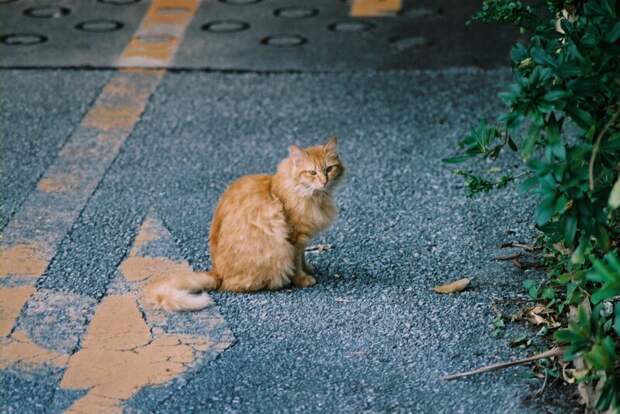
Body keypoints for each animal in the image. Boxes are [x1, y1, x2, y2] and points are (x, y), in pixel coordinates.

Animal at [146, 138, 344, 310]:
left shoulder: (302, 240)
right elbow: (296, 263)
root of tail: (216, 272)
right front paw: (302, 278)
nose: (324, 181)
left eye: (329, 169)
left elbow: (302, 258)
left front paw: (308, 268)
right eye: (312, 173)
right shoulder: (295, 237)